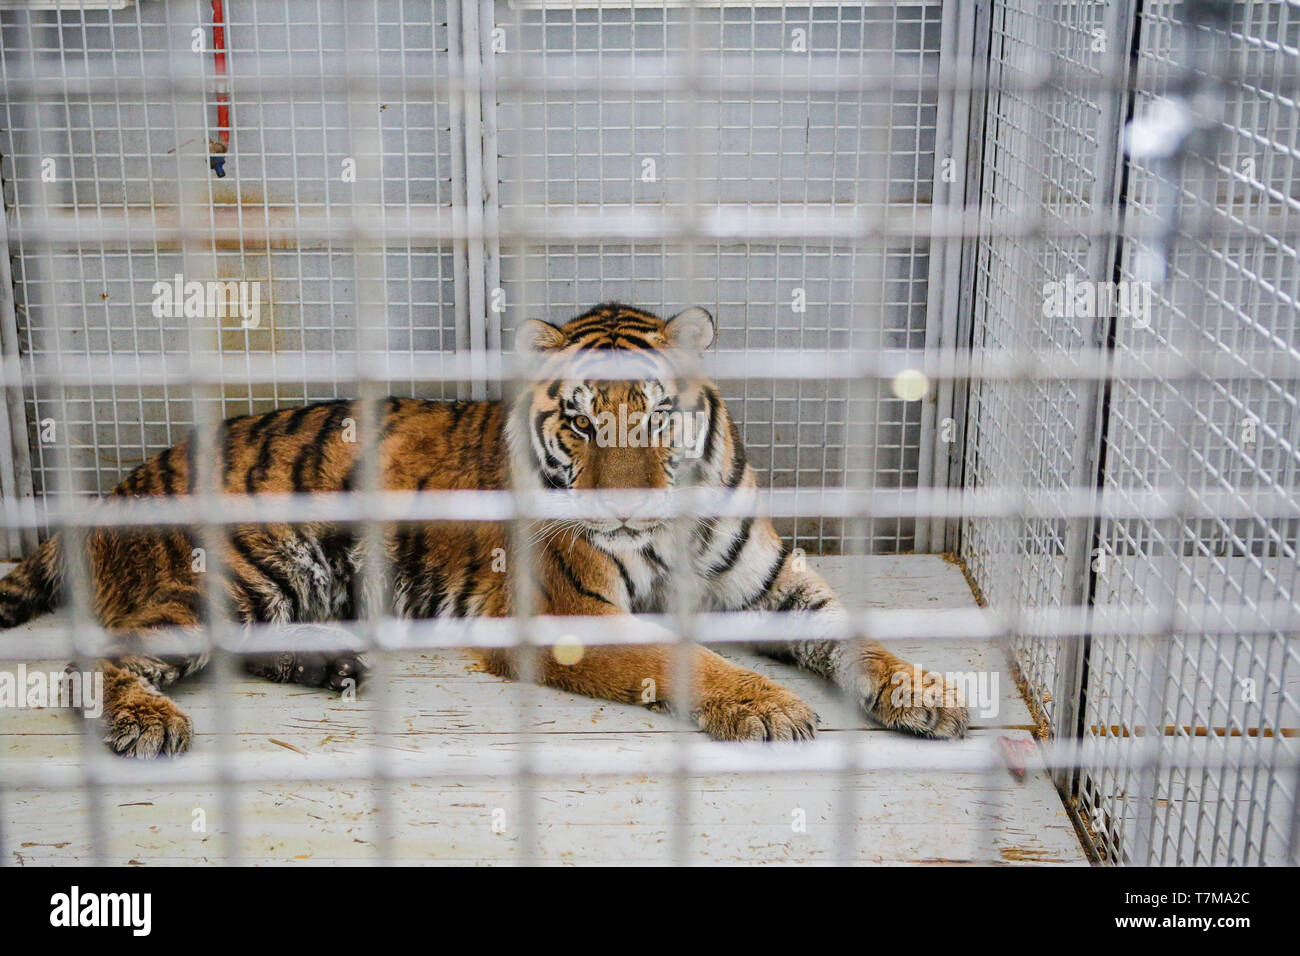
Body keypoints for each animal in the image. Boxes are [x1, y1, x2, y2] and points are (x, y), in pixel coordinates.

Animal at [0, 302, 968, 758]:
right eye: (580, 423)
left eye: (655, 418)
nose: (620, 512)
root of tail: (110, 496)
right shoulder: (568, 617)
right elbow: (679, 656)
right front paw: (767, 706)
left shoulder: (773, 586)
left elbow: (856, 637)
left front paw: (926, 691)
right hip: (239, 572)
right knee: (93, 661)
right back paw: (149, 722)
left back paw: (329, 667)